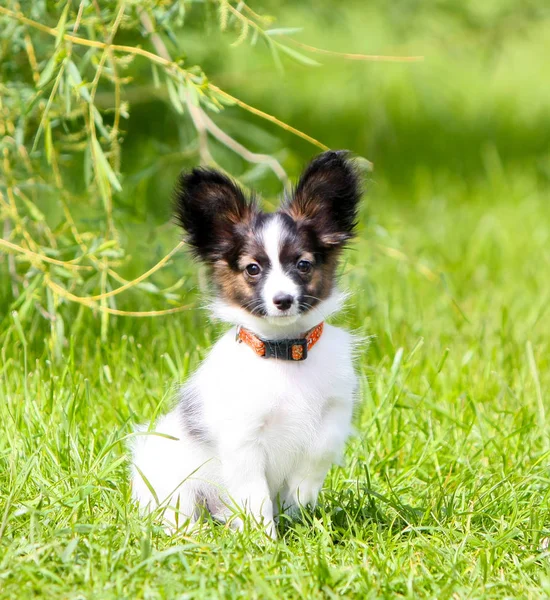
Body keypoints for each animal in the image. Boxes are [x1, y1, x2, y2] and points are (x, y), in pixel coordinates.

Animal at [132, 150, 364, 540]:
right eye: (253, 269)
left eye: (303, 264)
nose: (283, 300)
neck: (284, 353)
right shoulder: (243, 438)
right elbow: (255, 494)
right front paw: (265, 540)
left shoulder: (333, 412)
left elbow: (315, 458)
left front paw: (298, 502)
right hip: (170, 478)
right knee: (180, 512)